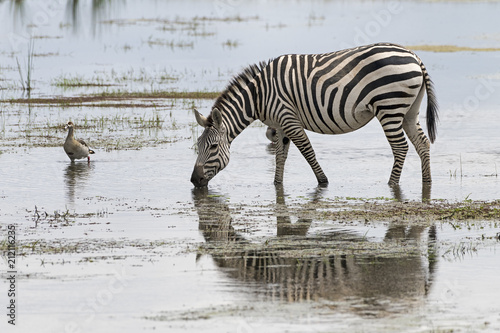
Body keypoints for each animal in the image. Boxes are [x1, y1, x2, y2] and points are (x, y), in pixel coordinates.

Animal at [191, 42, 438, 187]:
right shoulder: (280, 125)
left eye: (213, 147)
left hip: (390, 107)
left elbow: (308, 152)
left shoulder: (289, 119)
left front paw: (323, 181)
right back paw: (427, 181)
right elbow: (280, 156)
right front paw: (277, 184)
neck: (259, 95)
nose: (194, 180)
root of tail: (414, 56)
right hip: (409, 110)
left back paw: (391, 184)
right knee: (422, 143)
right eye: (197, 146)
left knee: (401, 147)